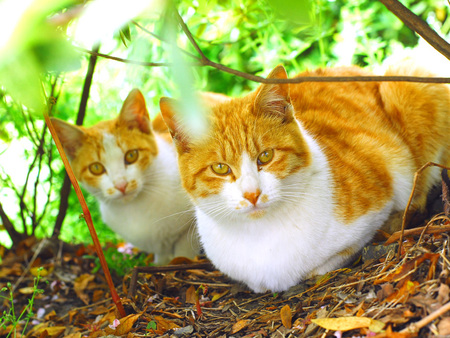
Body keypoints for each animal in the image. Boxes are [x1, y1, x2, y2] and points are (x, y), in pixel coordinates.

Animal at [50, 90, 200, 264]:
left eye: (131, 155)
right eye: (96, 168)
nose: (121, 185)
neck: (135, 207)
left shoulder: (189, 228)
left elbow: (185, 248)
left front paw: (182, 260)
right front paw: (160, 263)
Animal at [161, 64, 450, 294]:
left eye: (266, 156)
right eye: (220, 168)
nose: (252, 194)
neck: (261, 234)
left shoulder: (378, 200)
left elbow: (332, 259)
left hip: (404, 87)